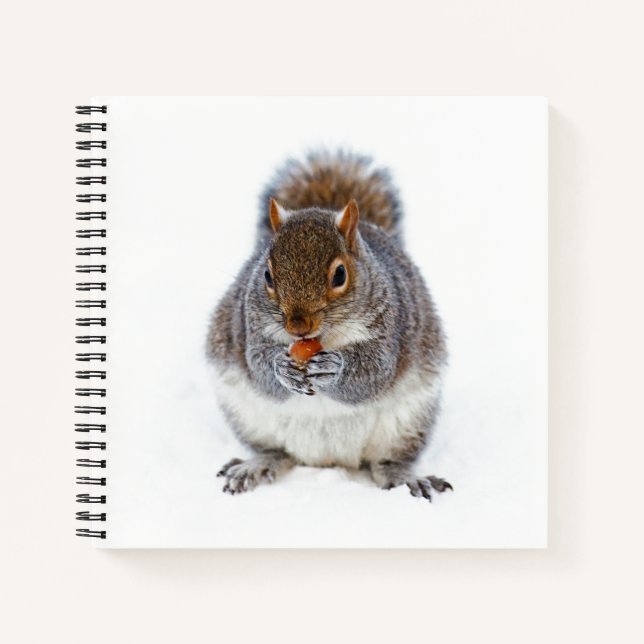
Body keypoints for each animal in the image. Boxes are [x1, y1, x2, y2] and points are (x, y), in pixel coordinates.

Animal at [207, 151, 452, 502]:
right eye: (267, 275)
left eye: (340, 275)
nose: (298, 326)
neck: (322, 338)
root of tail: (328, 459)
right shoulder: (249, 326)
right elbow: (258, 366)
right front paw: (281, 367)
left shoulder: (391, 327)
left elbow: (374, 373)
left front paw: (334, 368)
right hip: (248, 417)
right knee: (276, 451)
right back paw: (255, 465)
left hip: (407, 423)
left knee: (387, 461)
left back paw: (405, 478)